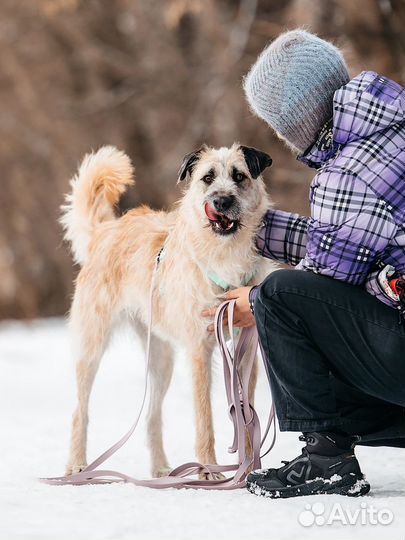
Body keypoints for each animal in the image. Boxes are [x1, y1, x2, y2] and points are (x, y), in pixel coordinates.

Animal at [60, 142, 274, 476]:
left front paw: (249, 469)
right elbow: (204, 418)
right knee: (79, 411)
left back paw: (161, 470)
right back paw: (78, 465)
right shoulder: (199, 350)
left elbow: (246, 412)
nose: (221, 201)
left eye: (239, 176)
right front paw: (209, 470)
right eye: (207, 177)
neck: (225, 255)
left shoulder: (244, 352)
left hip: (161, 360)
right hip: (91, 347)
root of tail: (105, 231)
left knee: (151, 417)